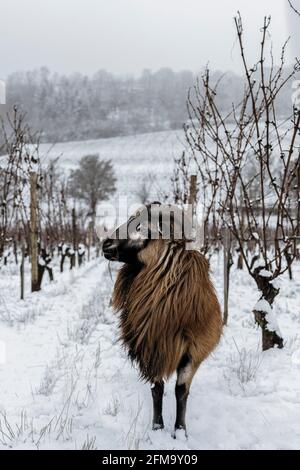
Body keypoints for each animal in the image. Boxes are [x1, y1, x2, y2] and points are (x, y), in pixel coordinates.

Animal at [103, 202, 223, 436]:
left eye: (141, 227)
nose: (105, 245)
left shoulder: (192, 353)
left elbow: (181, 390)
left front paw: (180, 432)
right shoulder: (153, 349)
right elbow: (157, 389)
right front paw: (157, 427)